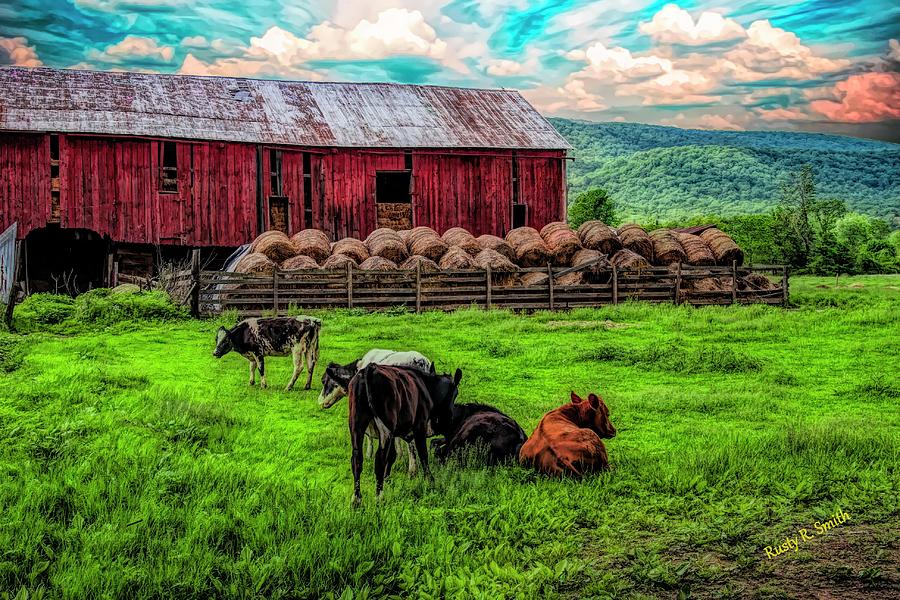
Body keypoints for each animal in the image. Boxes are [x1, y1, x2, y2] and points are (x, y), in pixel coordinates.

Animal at [350, 364, 464, 504]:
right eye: (456, 393)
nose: (451, 416)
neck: (426, 386)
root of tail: (370, 368)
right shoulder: (420, 426)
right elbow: (423, 454)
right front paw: (430, 480)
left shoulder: (395, 433)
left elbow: (392, 455)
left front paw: (387, 478)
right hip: (385, 426)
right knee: (380, 458)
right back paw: (379, 496)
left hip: (356, 423)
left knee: (357, 458)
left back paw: (357, 499)